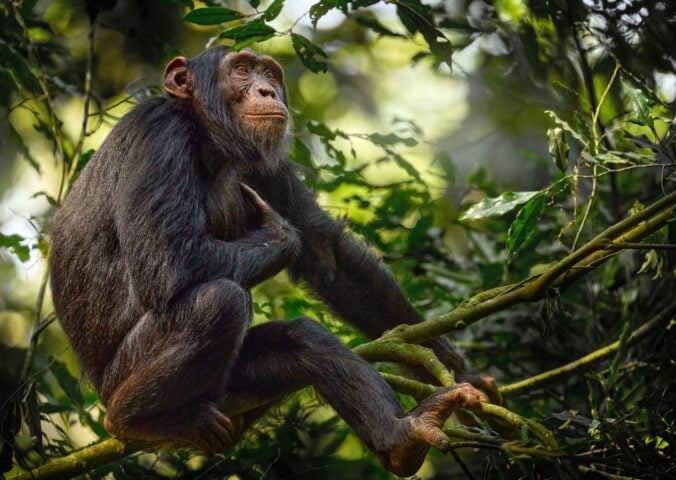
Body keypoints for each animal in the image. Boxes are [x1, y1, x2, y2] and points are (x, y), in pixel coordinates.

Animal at [47, 47, 492, 474]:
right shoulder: (156, 134)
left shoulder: (265, 164)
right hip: (123, 375)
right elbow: (167, 261)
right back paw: (136, 418)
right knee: (220, 300)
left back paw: (403, 436)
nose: (267, 91)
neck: (206, 140)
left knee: (301, 340)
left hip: (231, 393)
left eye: (270, 74)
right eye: (242, 70)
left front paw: (457, 368)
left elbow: (326, 252)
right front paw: (280, 234)